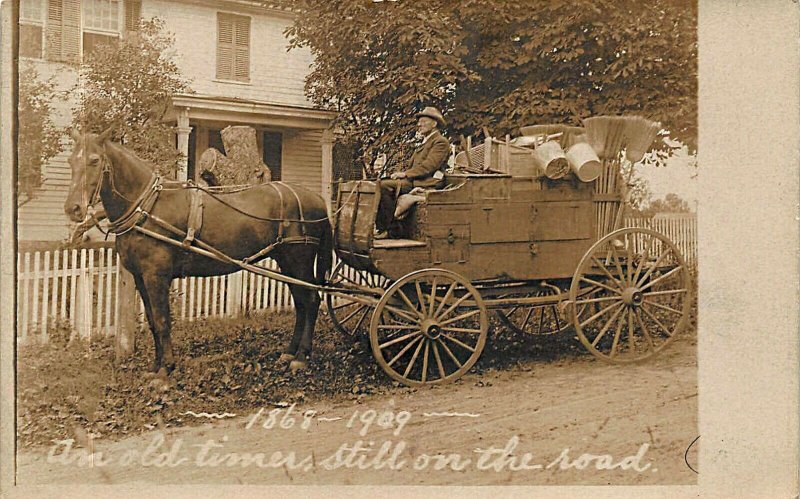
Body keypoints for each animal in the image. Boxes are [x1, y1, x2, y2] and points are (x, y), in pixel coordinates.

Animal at [61, 129, 332, 376]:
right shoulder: (140, 277)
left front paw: (166, 370)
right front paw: (156, 366)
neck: (146, 207)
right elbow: (152, 321)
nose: (73, 209)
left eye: (94, 160)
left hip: (299, 261)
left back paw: (302, 357)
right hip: (286, 262)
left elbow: (162, 320)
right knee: (301, 304)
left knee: (310, 301)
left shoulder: (156, 276)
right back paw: (290, 353)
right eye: (71, 161)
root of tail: (318, 200)